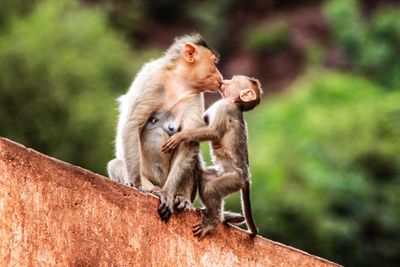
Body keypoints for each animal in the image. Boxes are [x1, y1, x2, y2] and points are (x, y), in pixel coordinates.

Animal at [108, 33, 223, 222]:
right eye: (214, 62)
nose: (220, 76)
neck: (178, 82)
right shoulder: (152, 80)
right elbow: (132, 124)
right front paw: (136, 184)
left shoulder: (194, 97)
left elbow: (188, 141)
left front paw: (169, 195)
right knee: (116, 164)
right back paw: (151, 189)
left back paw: (181, 198)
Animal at [162, 75, 262, 239]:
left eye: (233, 80)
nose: (224, 81)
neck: (234, 102)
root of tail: (247, 178)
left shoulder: (225, 107)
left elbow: (213, 131)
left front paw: (180, 136)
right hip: (222, 174)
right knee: (204, 178)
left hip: (234, 179)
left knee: (212, 189)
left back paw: (213, 221)